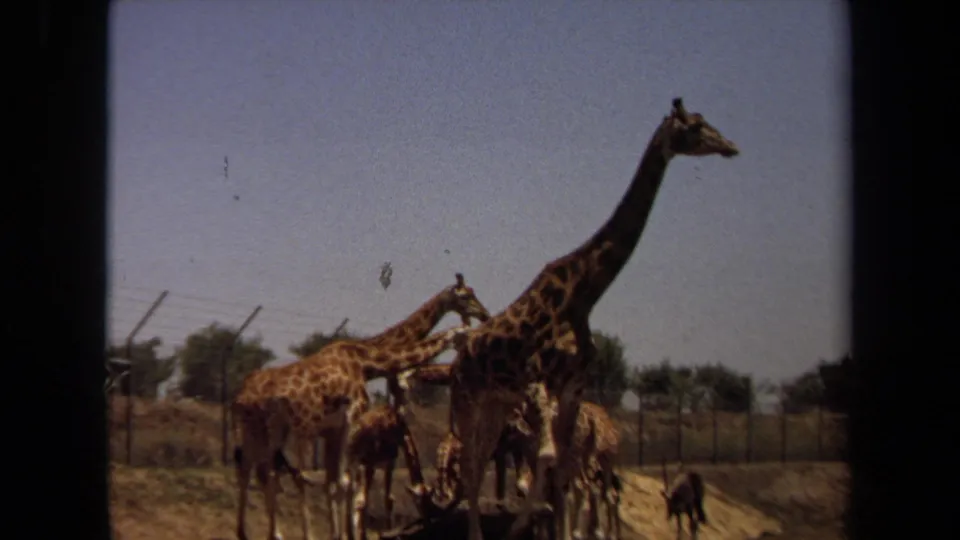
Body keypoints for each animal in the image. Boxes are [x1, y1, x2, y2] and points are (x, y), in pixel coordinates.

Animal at [232, 325, 471, 540]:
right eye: (462, 335)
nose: (451, 368)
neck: (363, 361)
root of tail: (242, 396)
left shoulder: (338, 434)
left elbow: (340, 483)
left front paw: (343, 532)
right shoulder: (352, 428)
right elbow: (349, 487)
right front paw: (345, 534)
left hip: (262, 432)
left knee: (252, 469)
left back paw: (250, 532)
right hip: (273, 432)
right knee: (269, 473)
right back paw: (274, 533)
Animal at [447, 98, 740, 540]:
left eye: (706, 123)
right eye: (694, 126)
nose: (730, 146)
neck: (584, 294)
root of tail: (461, 355)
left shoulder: (571, 388)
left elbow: (564, 466)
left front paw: (549, 523)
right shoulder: (536, 379)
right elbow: (548, 457)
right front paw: (522, 522)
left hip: (497, 402)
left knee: (480, 461)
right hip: (468, 397)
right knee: (469, 463)